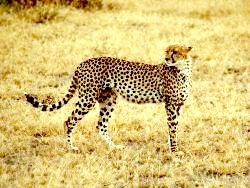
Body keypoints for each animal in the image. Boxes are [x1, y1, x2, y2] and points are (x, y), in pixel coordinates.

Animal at [24, 44, 191, 152]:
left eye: (175, 52)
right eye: (167, 51)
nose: (166, 58)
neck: (184, 70)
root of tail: (83, 63)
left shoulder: (178, 105)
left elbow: (173, 127)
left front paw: (171, 146)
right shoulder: (170, 104)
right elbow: (173, 128)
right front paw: (175, 151)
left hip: (108, 100)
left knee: (101, 126)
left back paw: (114, 147)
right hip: (88, 98)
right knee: (69, 121)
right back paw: (71, 147)